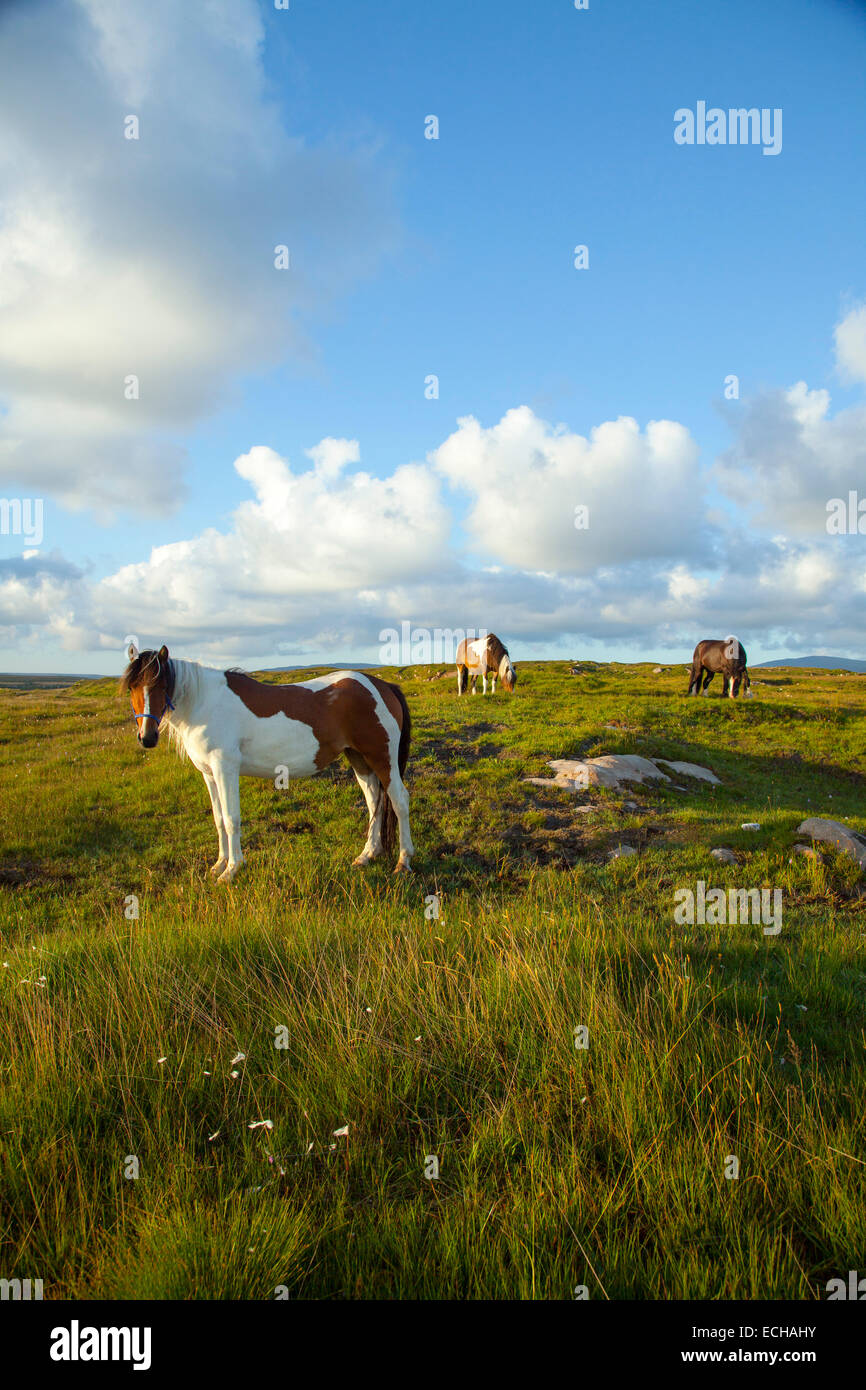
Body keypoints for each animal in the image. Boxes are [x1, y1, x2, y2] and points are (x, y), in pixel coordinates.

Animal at [120, 644, 414, 884]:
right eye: (132, 687)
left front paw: (232, 870)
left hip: (382, 758)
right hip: (358, 758)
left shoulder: (225, 768)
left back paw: (403, 861)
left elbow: (231, 819)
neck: (205, 703)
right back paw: (367, 855)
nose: (147, 737)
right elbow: (218, 819)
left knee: (399, 801)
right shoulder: (209, 774)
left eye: (161, 686)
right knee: (374, 802)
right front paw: (218, 865)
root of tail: (383, 686)